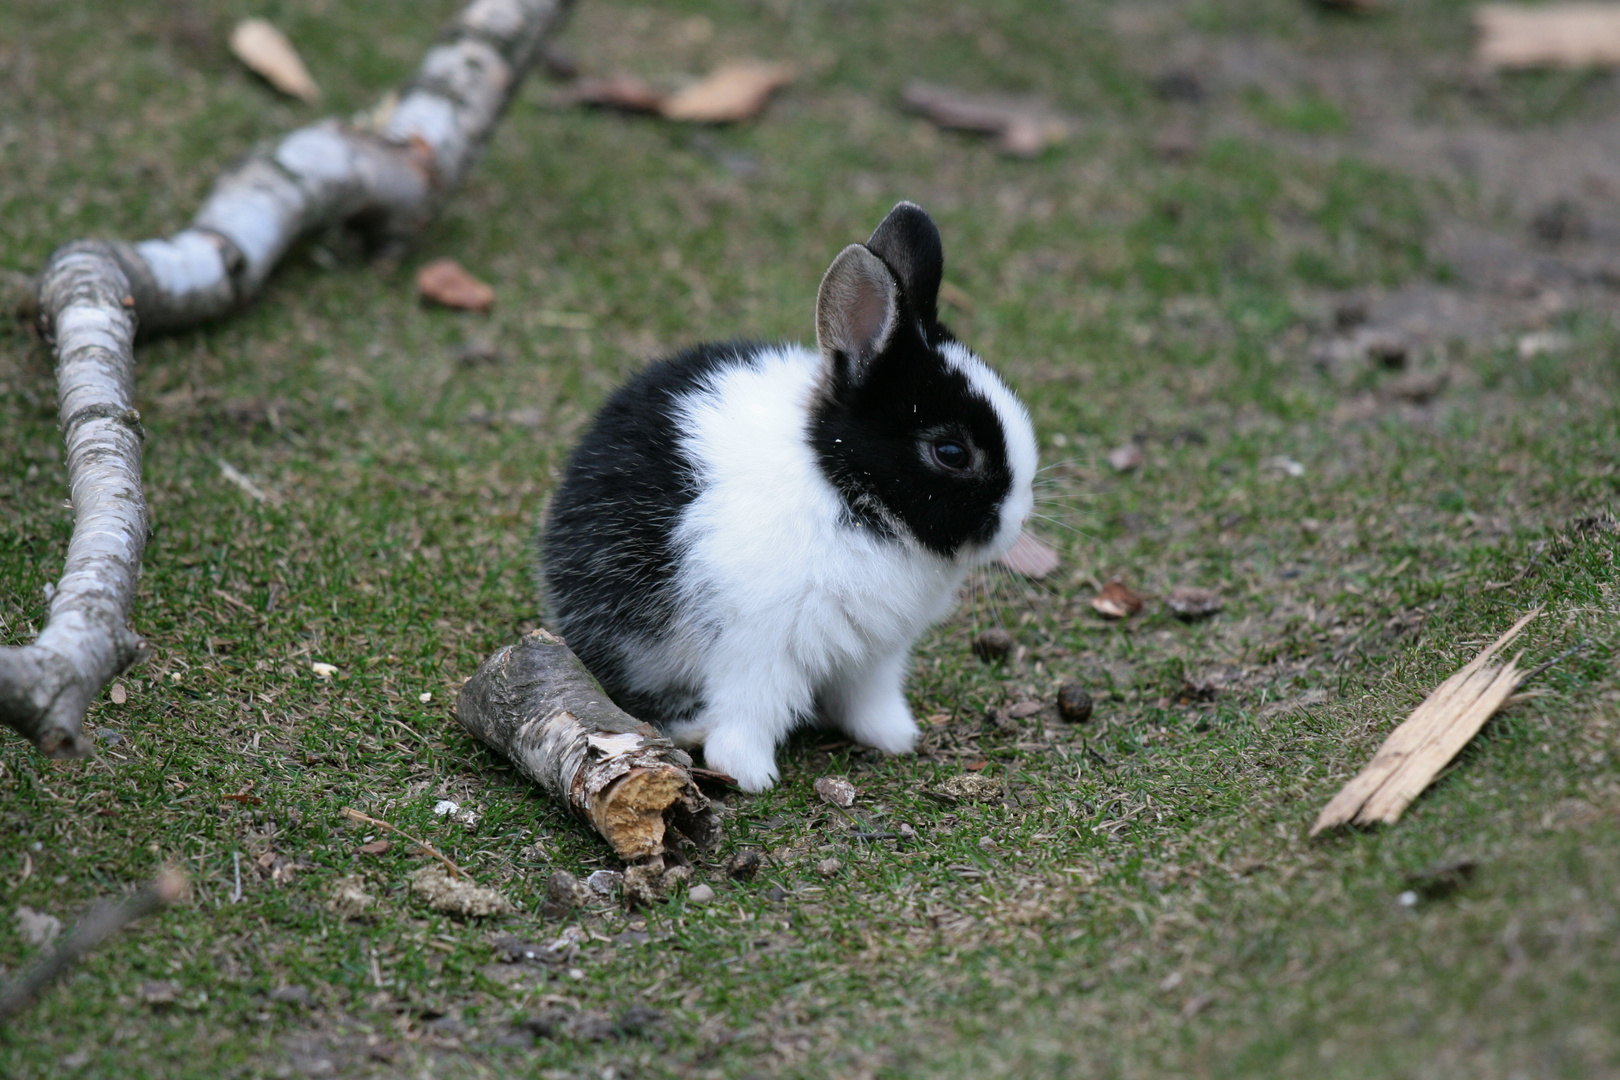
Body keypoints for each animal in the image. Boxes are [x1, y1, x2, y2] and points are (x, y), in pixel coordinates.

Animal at [537, 204, 1030, 793]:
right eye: (951, 452)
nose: (1016, 522)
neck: (842, 487)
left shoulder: (874, 655)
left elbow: (869, 699)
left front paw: (894, 738)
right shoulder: (759, 648)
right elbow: (750, 712)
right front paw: (749, 773)